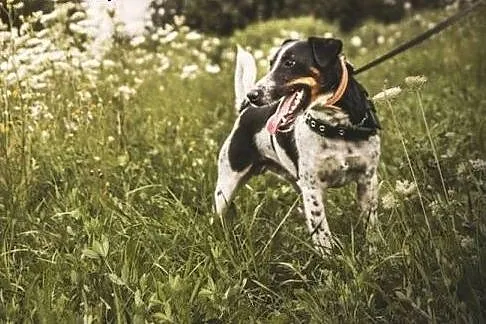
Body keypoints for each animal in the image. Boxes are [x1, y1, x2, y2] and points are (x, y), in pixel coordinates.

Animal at [215, 36, 382, 252]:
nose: (253, 95)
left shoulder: (367, 179)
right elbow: (322, 232)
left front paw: (374, 249)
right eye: (271, 64)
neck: (335, 127)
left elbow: (370, 223)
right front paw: (330, 257)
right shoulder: (312, 188)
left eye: (290, 62)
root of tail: (244, 111)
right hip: (226, 188)